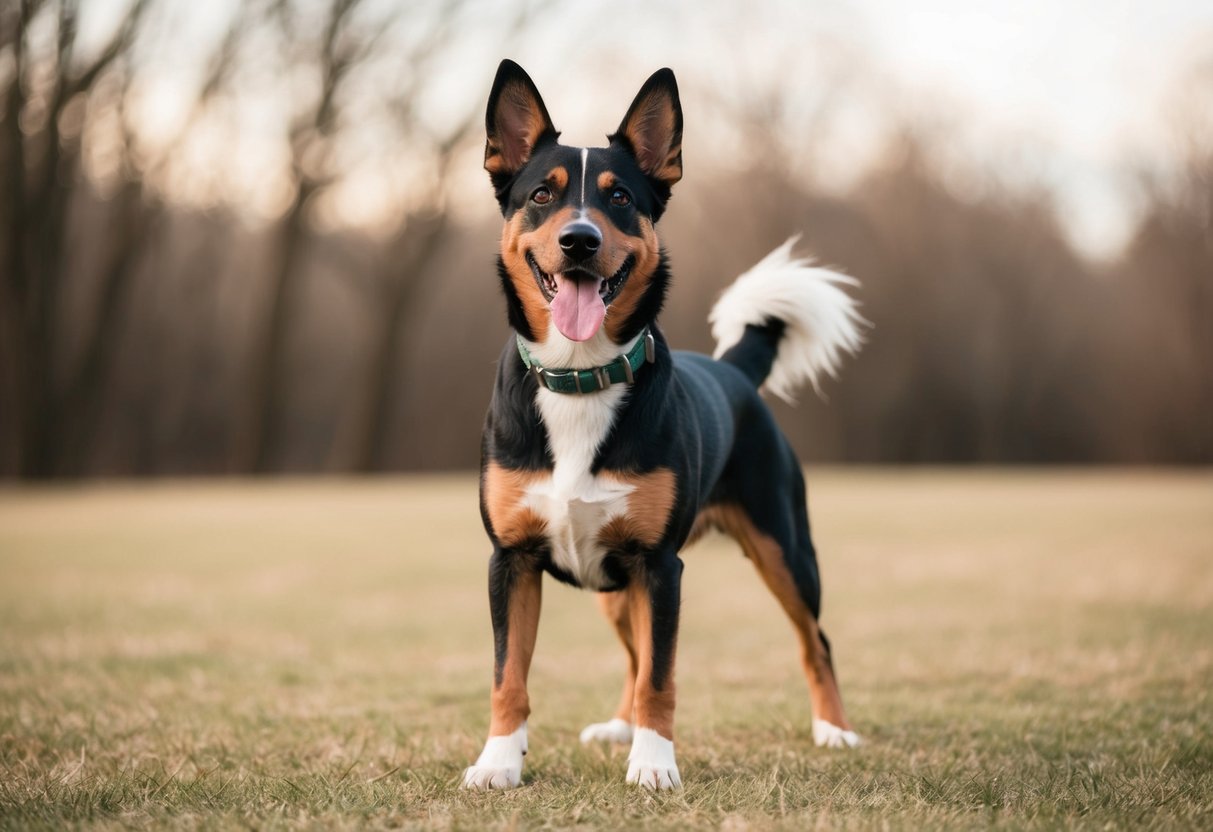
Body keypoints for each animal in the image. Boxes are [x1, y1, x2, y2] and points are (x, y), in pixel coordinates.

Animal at [458, 61, 868, 790]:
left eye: (620, 198)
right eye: (541, 194)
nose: (580, 240)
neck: (581, 377)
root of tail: (736, 371)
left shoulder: (660, 569)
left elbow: (661, 674)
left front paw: (653, 764)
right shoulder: (512, 560)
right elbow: (510, 676)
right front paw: (498, 761)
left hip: (783, 549)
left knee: (812, 640)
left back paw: (833, 730)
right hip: (614, 581)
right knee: (631, 652)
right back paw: (618, 726)